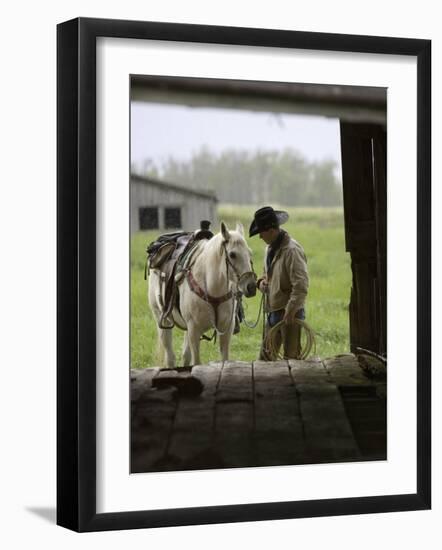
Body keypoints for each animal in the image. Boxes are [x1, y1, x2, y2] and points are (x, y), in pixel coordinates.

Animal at [148, 222, 256, 368]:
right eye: (232, 254)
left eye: (249, 253)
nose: (251, 286)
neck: (212, 288)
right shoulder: (194, 331)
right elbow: (197, 362)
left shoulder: (226, 330)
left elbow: (224, 360)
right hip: (162, 319)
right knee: (170, 357)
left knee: (185, 356)